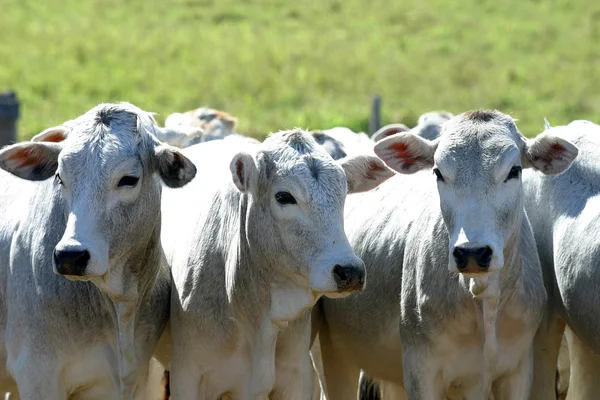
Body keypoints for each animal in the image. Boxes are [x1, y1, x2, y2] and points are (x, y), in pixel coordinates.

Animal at [314, 110, 576, 400]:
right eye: (438, 172)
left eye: (514, 170)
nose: (472, 252)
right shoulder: (421, 370)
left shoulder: (518, 371)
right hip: (332, 359)